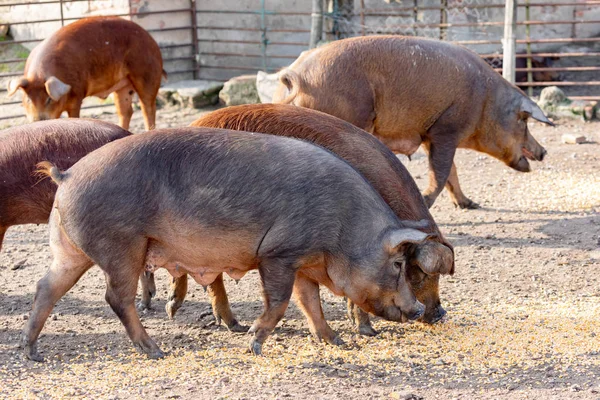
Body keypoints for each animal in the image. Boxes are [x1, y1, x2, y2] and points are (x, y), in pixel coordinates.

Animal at [5, 16, 164, 130]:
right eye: (28, 99)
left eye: (49, 99)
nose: (38, 121)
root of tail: (152, 40)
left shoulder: (77, 94)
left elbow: (74, 115)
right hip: (122, 86)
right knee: (126, 111)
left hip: (147, 74)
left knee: (148, 108)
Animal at [23, 128, 446, 362]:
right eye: (398, 265)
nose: (418, 309)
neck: (343, 228)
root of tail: (67, 175)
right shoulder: (278, 253)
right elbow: (280, 302)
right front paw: (251, 344)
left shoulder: (302, 261)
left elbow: (309, 303)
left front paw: (336, 342)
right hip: (122, 246)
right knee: (116, 297)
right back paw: (156, 350)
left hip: (69, 249)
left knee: (46, 287)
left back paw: (33, 352)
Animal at [139, 104, 450, 338]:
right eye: (421, 272)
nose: (438, 314)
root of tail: (196, 120)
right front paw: (366, 331)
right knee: (210, 277)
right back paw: (229, 324)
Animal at [274, 35, 552, 209]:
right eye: (524, 120)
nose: (544, 151)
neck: (486, 102)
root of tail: (296, 74)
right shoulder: (446, 129)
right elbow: (440, 172)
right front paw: (426, 201)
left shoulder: (430, 135)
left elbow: (452, 172)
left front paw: (470, 205)